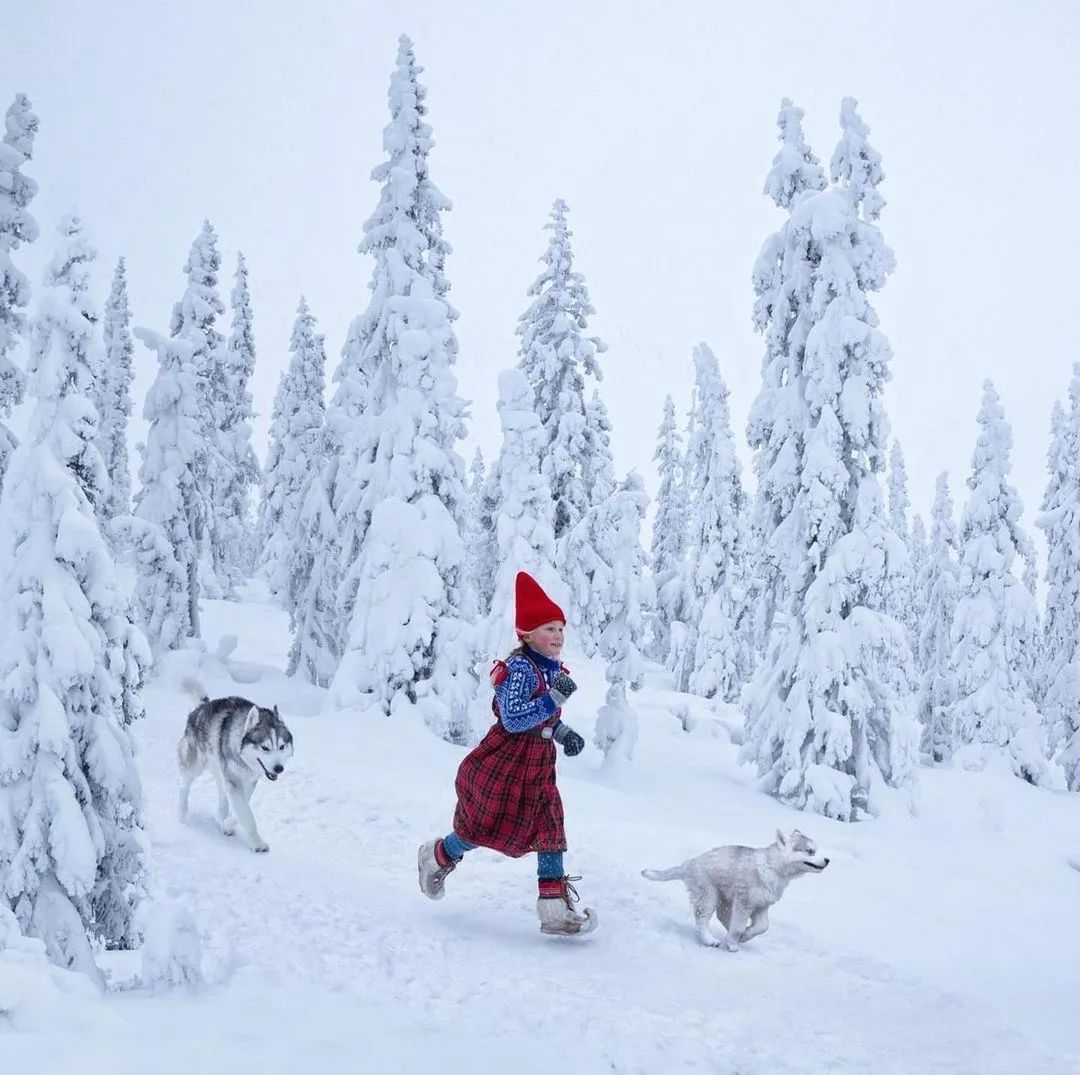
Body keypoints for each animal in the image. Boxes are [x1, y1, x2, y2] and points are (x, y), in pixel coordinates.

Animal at [643, 834, 829, 950]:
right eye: (810, 851)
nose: (827, 860)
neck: (773, 867)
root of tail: (688, 864)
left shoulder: (762, 904)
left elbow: (763, 927)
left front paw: (745, 935)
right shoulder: (744, 903)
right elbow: (739, 926)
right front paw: (733, 943)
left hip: (724, 898)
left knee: (722, 915)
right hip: (708, 895)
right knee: (702, 919)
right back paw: (709, 940)